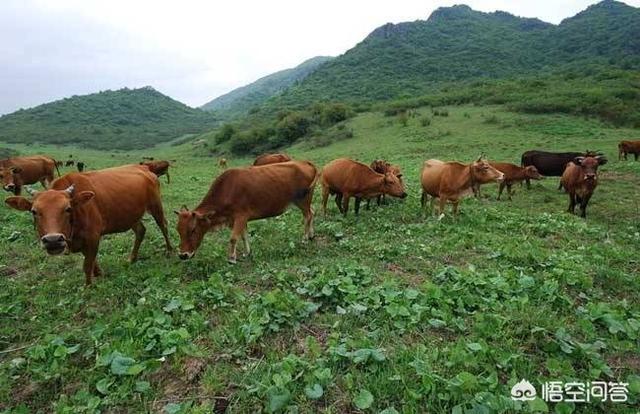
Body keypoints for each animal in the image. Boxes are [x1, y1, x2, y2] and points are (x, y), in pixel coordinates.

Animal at [4, 165, 172, 284]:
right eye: (34, 211)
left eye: (68, 209)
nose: (53, 240)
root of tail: (144, 168)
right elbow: (91, 260)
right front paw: (98, 273)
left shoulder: (93, 236)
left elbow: (87, 265)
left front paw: (88, 286)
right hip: (130, 215)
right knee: (140, 231)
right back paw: (132, 258)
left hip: (156, 206)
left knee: (163, 226)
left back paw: (169, 251)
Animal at [175, 160, 318, 264]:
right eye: (178, 230)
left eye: (193, 230)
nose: (183, 255)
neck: (227, 190)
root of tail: (304, 162)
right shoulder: (238, 220)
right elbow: (244, 236)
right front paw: (247, 252)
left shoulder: (240, 216)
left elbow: (233, 238)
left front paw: (232, 258)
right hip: (304, 202)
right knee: (312, 212)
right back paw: (311, 235)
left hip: (303, 200)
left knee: (308, 216)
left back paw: (305, 238)